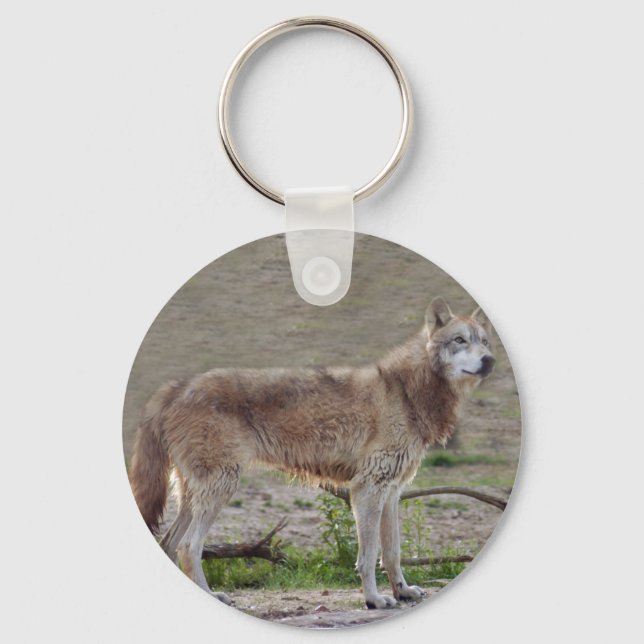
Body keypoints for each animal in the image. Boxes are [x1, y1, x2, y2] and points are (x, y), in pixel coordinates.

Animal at [129, 297, 495, 609]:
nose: (489, 360)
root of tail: (174, 387)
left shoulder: (391, 491)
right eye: (459, 340)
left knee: (169, 544)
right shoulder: (367, 489)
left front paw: (402, 592)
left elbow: (392, 552)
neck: (406, 392)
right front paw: (374, 600)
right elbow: (368, 555)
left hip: (194, 496)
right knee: (188, 548)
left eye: (485, 342)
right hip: (220, 488)